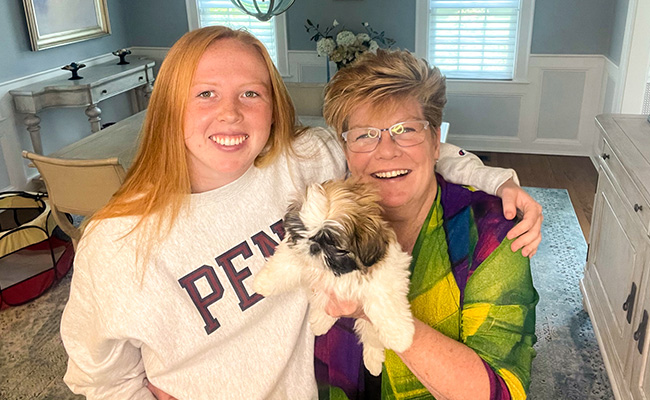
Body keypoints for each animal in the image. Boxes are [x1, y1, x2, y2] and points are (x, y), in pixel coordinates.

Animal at [253, 178, 414, 376]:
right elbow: (285, 263)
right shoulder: (297, 253)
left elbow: (385, 307)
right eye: (303, 232)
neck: (340, 271)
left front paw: (401, 339)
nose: (314, 246)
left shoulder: (384, 280)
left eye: (332, 244)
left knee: (370, 334)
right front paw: (263, 283)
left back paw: (373, 361)